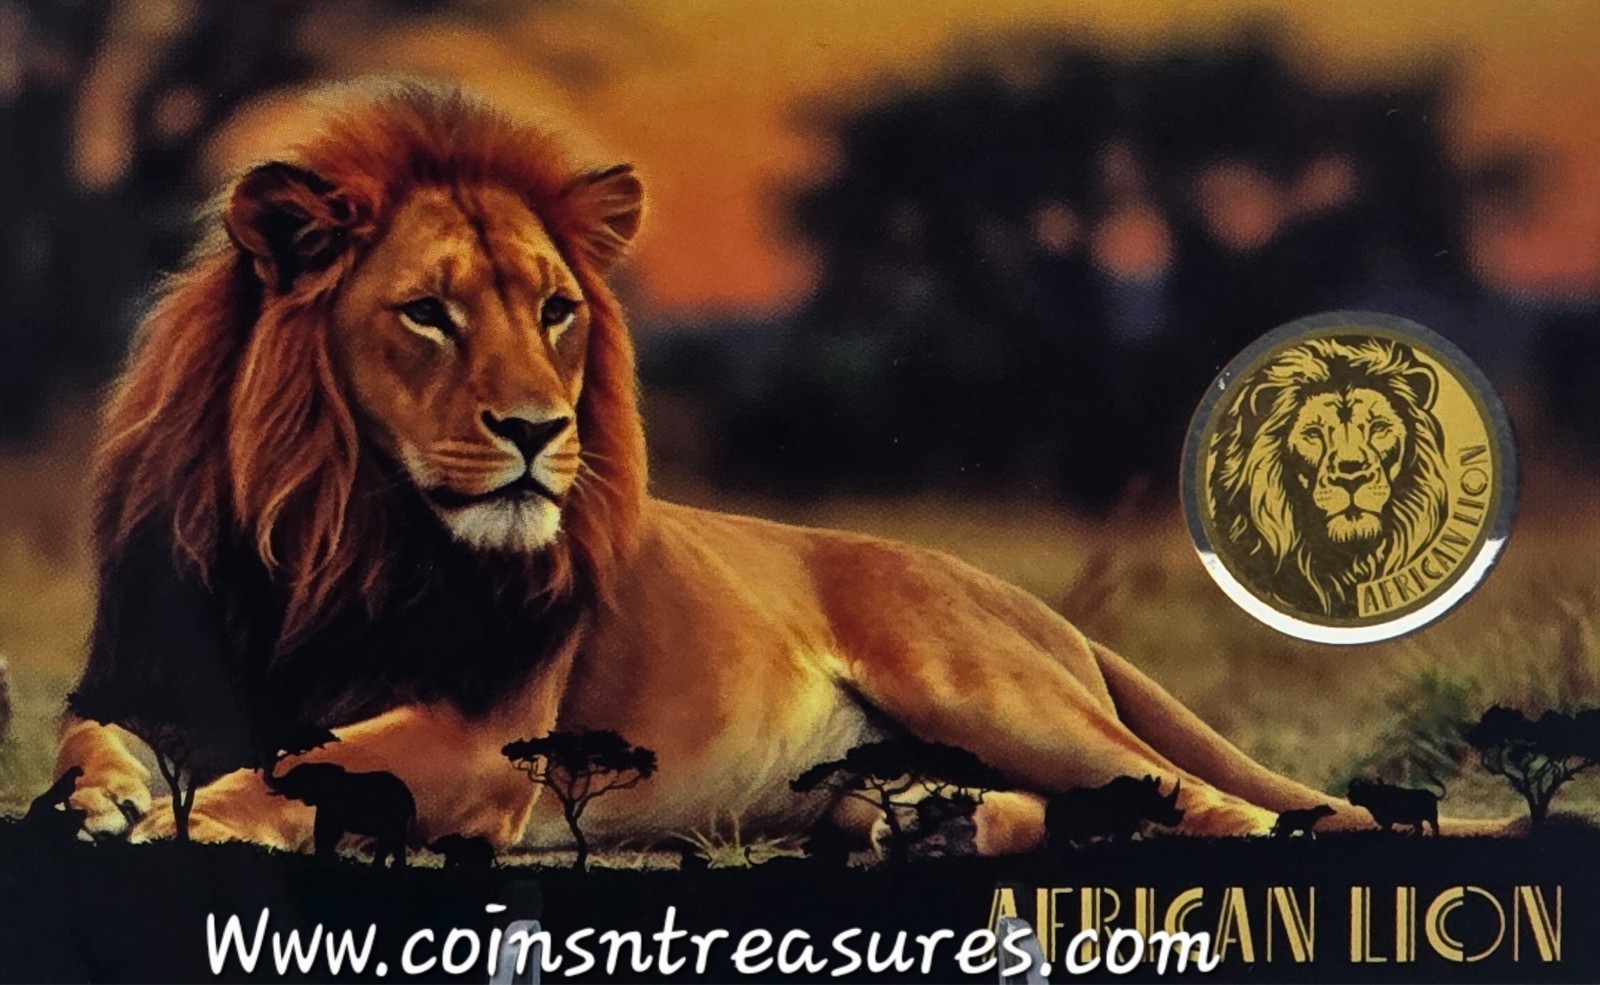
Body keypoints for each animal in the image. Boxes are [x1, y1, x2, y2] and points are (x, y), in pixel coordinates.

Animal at [56, 82, 1405, 857]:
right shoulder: (145, 672)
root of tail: (1026, 600)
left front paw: (183, 822)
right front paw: (95, 801)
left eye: (554, 309)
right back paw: (937, 836)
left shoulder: (475, 732)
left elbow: (308, 766)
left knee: (1207, 800)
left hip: (986, 688)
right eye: (428, 313)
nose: (542, 428)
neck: (340, 531)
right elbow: (92, 739)